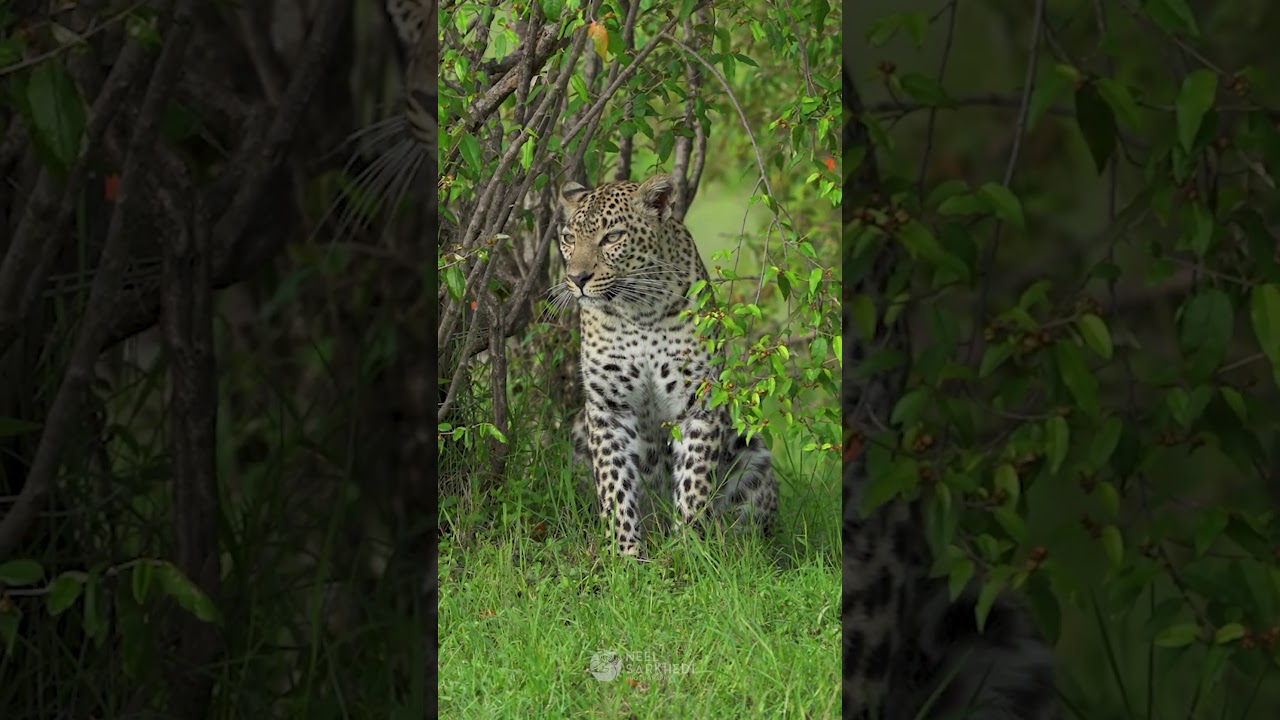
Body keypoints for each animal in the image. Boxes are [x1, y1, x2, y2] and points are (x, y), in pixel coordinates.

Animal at [554, 173, 778, 559]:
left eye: (612, 237)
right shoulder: (608, 407)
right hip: (580, 432)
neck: (639, 311)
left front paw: (687, 550)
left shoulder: (698, 401)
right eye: (569, 239)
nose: (578, 279)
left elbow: (694, 480)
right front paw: (625, 553)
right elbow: (614, 483)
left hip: (753, 452)